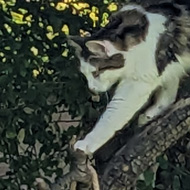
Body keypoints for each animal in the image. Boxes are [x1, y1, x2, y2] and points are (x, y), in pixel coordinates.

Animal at [69, 2, 190, 154]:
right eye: (85, 74)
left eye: (96, 73)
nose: (92, 89)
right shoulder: (165, 67)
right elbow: (168, 91)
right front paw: (154, 111)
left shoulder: (136, 85)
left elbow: (111, 118)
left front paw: (86, 143)